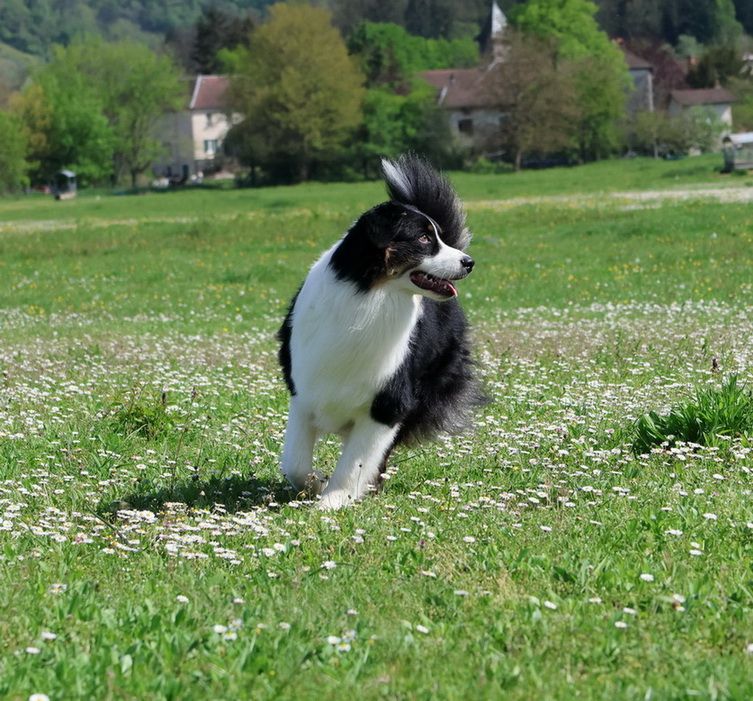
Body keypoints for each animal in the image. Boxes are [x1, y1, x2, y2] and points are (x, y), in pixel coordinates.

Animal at [276, 154, 482, 508]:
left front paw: (333, 500)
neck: (368, 294)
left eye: (439, 237)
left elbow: (355, 462)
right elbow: (295, 462)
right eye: (424, 238)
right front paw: (316, 484)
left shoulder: (388, 403)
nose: (468, 262)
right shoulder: (305, 389)